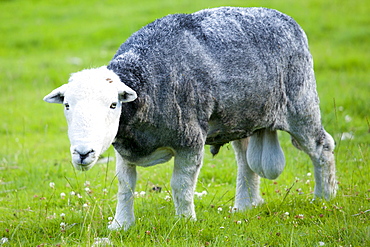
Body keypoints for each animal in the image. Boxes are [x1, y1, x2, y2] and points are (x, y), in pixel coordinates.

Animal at [42, 7, 336, 232]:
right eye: (67, 105)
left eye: (114, 105)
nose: (83, 153)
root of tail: (283, 17)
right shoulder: (124, 148)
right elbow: (125, 185)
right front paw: (120, 225)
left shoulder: (190, 139)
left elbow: (180, 185)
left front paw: (184, 221)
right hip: (242, 118)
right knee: (245, 162)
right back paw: (244, 206)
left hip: (301, 105)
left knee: (322, 147)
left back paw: (324, 198)